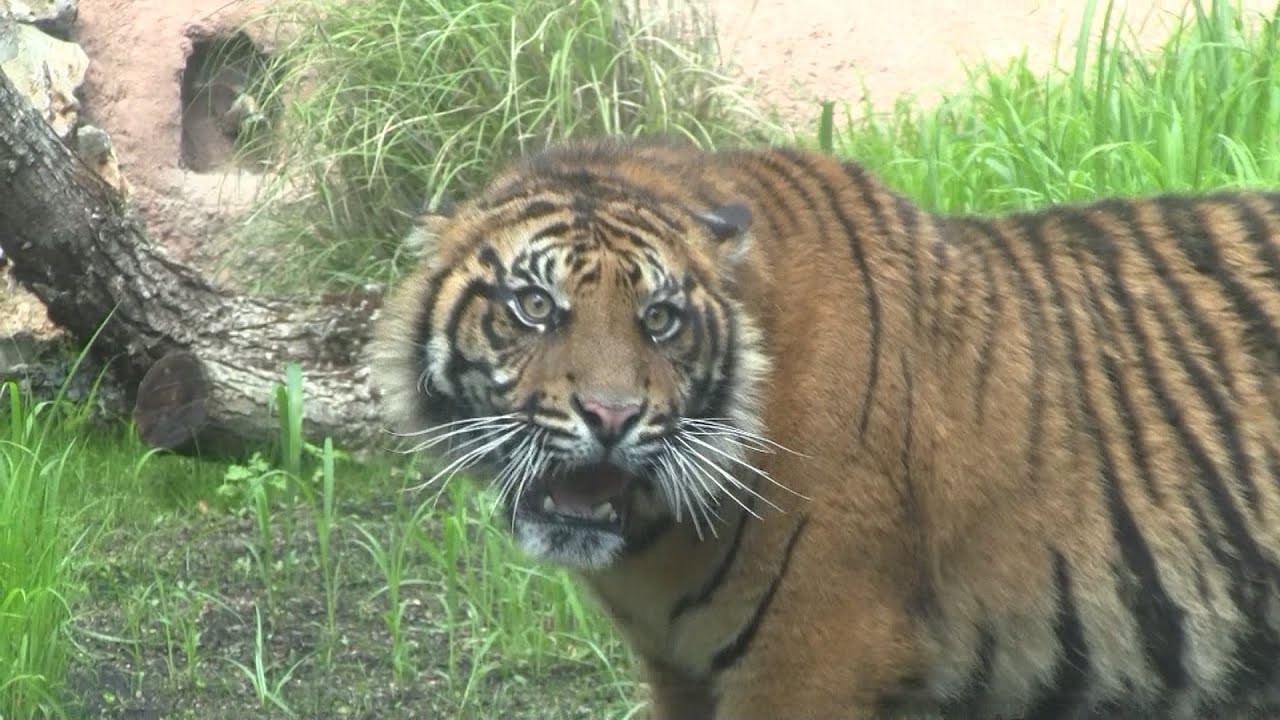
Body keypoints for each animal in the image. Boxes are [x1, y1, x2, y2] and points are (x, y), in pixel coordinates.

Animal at [368, 135, 1280, 719]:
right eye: (534, 306)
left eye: (659, 320)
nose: (611, 416)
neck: (655, 546)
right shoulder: (679, 674)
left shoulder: (815, 657)